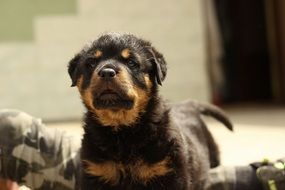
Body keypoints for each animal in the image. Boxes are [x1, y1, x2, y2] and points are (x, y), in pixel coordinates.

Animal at [67, 32, 232, 190]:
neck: (122, 129)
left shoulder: (169, 172)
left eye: (131, 62)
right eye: (91, 63)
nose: (107, 72)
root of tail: (187, 104)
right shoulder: (95, 171)